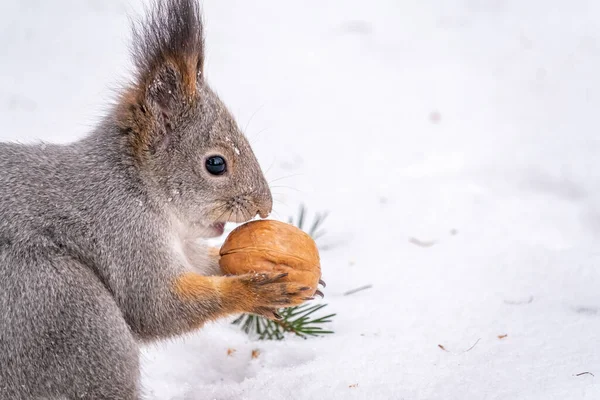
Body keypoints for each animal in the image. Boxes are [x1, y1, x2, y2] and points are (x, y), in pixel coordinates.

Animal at [0, 1, 314, 398]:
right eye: (215, 164)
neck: (136, 184)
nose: (264, 206)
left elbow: (207, 262)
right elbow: (157, 305)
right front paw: (255, 290)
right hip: (67, 310)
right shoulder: (122, 229)